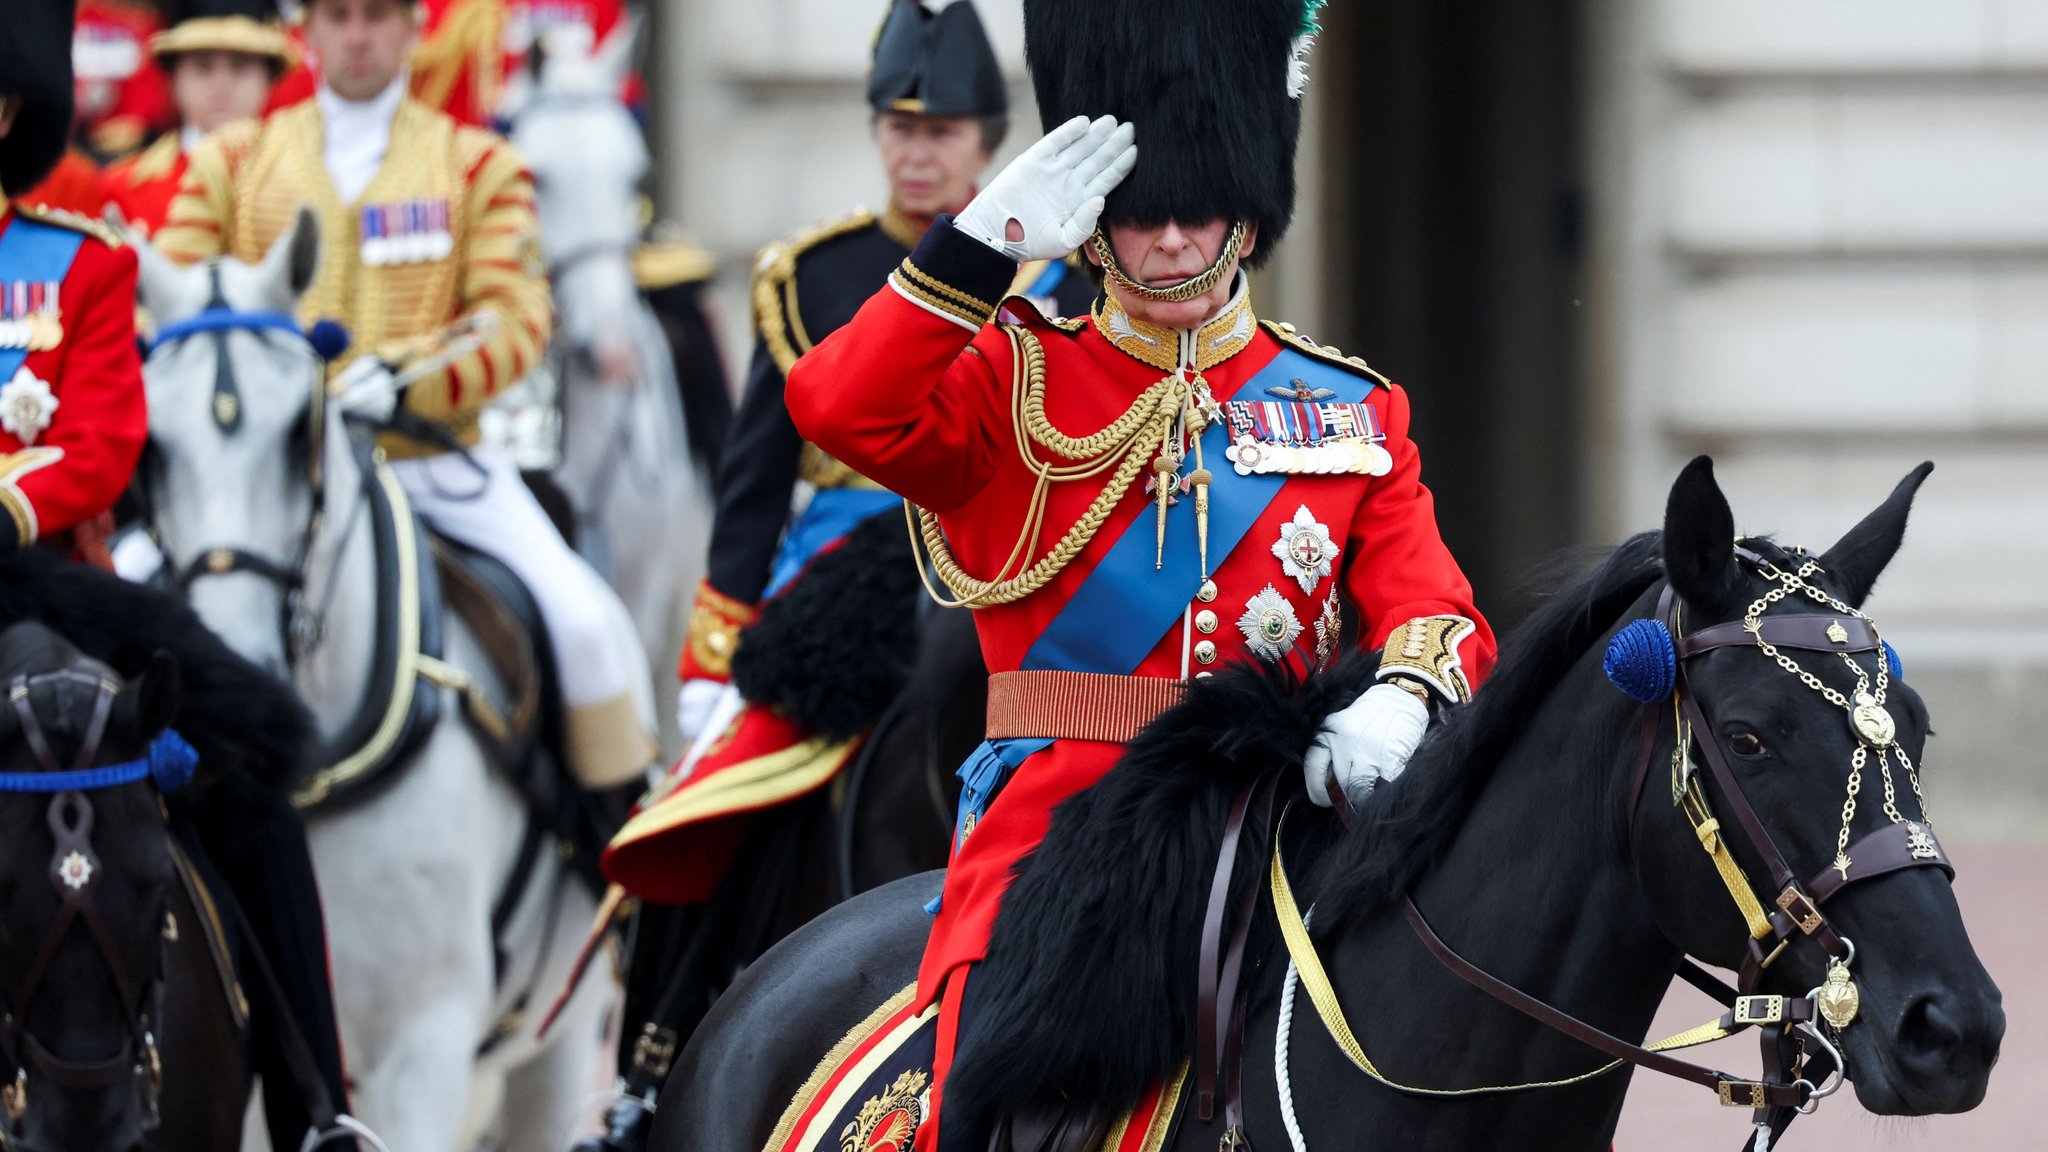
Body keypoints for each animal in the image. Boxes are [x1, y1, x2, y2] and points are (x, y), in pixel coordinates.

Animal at [123, 211, 606, 1139]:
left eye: (298, 432)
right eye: (151, 446)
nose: (234, 668)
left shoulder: (424, 1047)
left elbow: (511, 304)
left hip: (551, 1052)